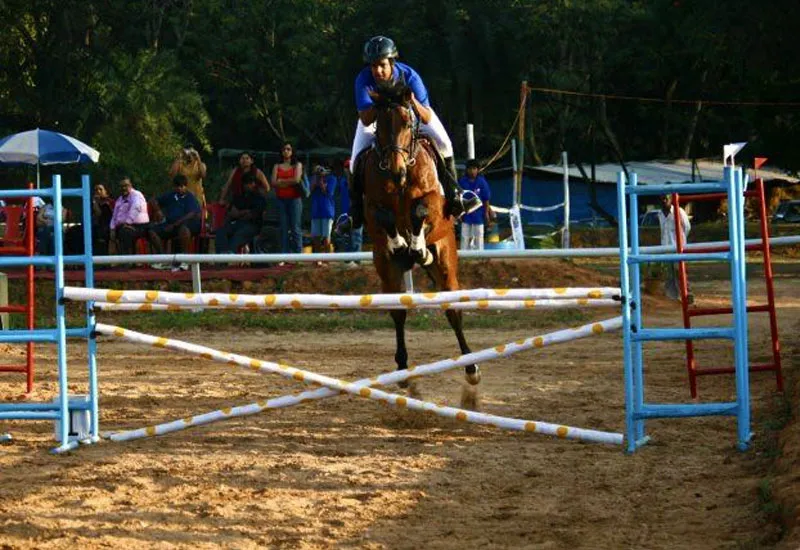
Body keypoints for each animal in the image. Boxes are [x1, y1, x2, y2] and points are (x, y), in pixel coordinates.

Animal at [362, 78, 482, 406]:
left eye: (407, 122)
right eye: (379, 126)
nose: (396, 170)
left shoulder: (433, 203)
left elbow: (419, 209)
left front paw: (414, 244)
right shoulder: (372, 207)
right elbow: (384, 216)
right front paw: (400, 243)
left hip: (445, 261)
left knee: (453, 310)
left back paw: (471, 369)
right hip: (387, 271)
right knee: (398, 313)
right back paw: (403, 371)